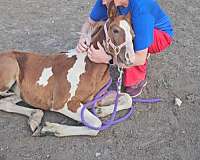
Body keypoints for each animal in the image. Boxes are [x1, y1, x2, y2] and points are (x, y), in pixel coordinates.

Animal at [0, 1, 136, 136]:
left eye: (133, 34)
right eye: (115, 30)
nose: (130, 59)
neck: (90, 67)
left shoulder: (96, 97)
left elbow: (127, 98)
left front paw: (99, 110)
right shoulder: (64, 103)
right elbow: (96, 125)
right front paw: (50, 128)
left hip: (21, 90)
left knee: (6, 102)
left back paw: (35, 117)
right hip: (10, 73)